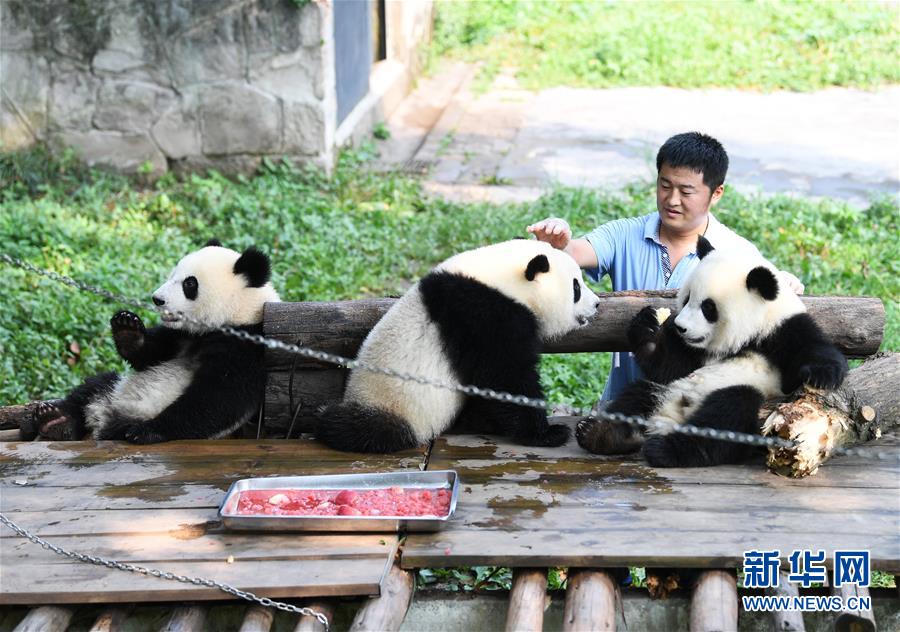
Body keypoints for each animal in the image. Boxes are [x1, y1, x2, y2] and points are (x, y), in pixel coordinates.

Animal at [26, 242, 280, 444]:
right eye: (173, 273)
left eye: (190, 284)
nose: (157, 299)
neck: (236, 315)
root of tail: (102, 417)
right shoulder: (180, 336)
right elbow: (149, 356)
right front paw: (127, 327)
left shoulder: (246, 347)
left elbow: (219, 397)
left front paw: (146, 431)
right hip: (114, 387)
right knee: (91, 389)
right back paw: (56, 420)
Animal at [312, 239, 600, 452]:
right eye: (576, 287)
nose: (597, 304)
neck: (504, 278)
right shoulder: (485, 315)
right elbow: (505, 376)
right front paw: (548, 433)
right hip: (393, 405)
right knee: (358, 429)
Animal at [576, 235, 844, 466]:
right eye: (686, 298)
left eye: (708, 307)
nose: (680, 327)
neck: (744, 338)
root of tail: (669, 420)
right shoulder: (693, 353)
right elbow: (670, 366)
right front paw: (647, 326)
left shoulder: (782, 330)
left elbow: (810, 348)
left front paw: (821, 375)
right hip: (666, 390)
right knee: (637, 394)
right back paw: (602, 434)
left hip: (749, 402)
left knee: (728, 412)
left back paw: (665, 450)